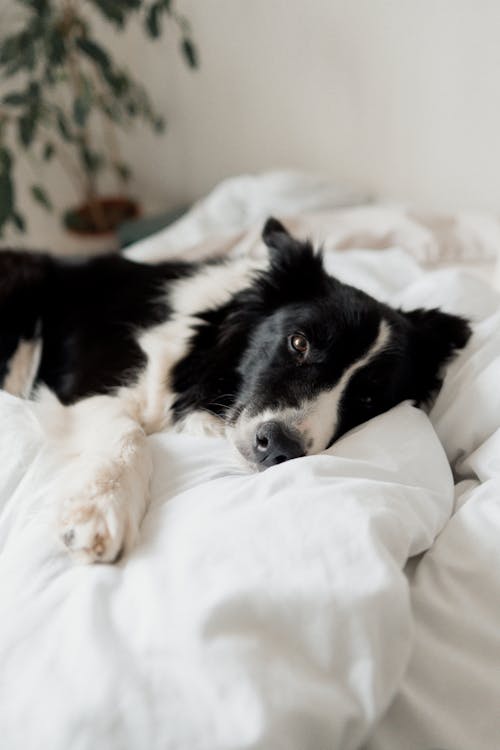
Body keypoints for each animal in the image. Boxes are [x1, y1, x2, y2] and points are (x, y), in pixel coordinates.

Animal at [0, 217, 470, 564]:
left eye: (368, 400)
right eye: (298, 343)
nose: (279, 445)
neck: (201, 359)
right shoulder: (85, 388)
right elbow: (128, 432)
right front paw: (99, 508)